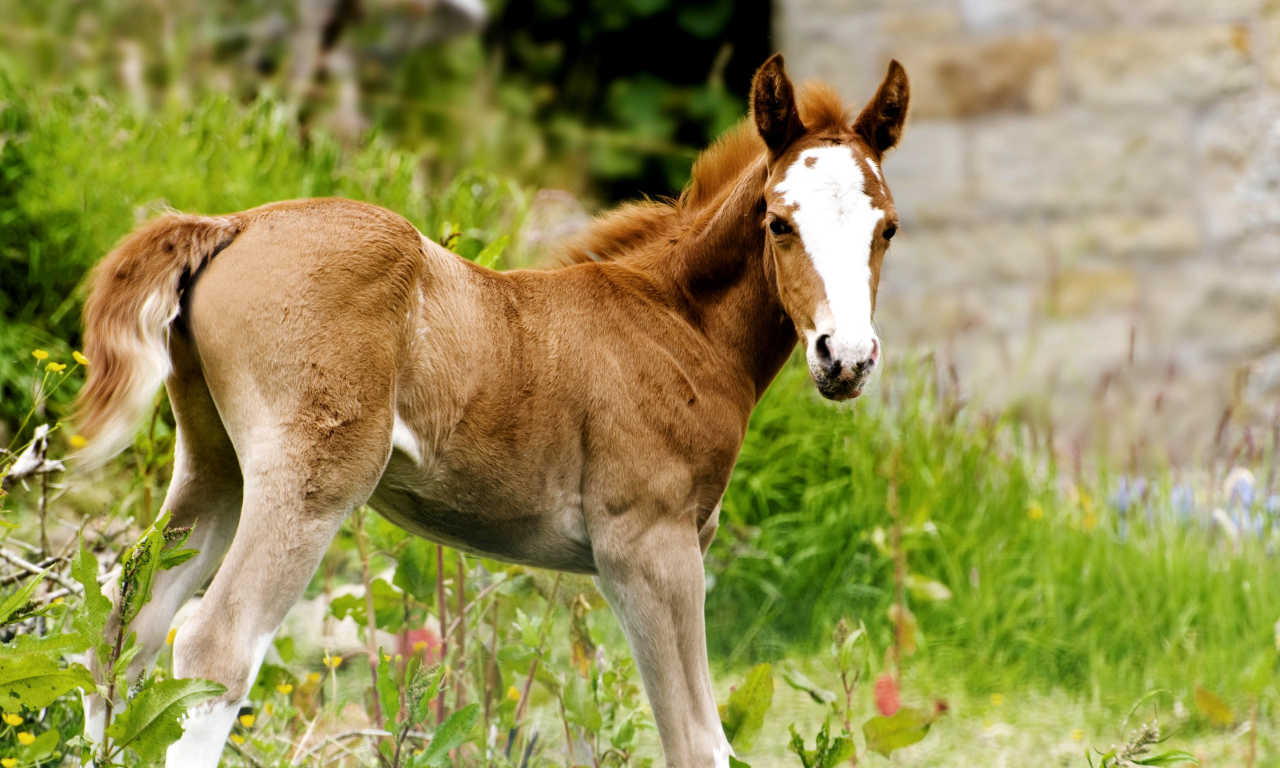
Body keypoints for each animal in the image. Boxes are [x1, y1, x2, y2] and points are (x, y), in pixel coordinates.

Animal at [74, 55, 911, 768]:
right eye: (779, 221)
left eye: (888, 227)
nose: (845, 357)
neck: (677, 321)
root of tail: (234, 224)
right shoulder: (649, 548)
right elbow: (698, 743)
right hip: (310, 479)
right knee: (213, 646)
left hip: (213, 465)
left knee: (123, 630)